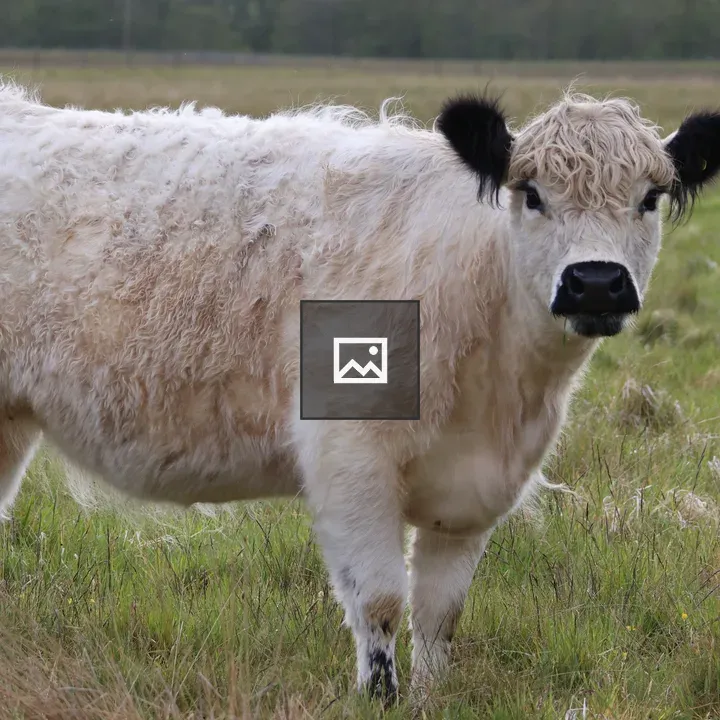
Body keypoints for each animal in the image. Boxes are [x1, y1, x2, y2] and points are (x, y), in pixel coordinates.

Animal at [0, 80, 719, 705]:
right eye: (533, 194)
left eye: (650, 197)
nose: (595, 282)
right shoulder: (350, 457)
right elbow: (379, 599)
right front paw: (380, 697)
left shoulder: (477, 488)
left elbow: (440, 611)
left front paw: (431, 697)